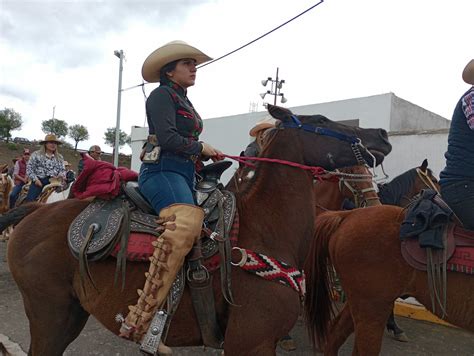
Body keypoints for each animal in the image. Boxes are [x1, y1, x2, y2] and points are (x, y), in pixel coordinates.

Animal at [1, 105, 390, 356]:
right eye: (321, 120)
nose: (383, 134)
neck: (263, 228)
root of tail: (37, 211)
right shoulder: (250, 342)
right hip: (50, 315)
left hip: (71, 313)